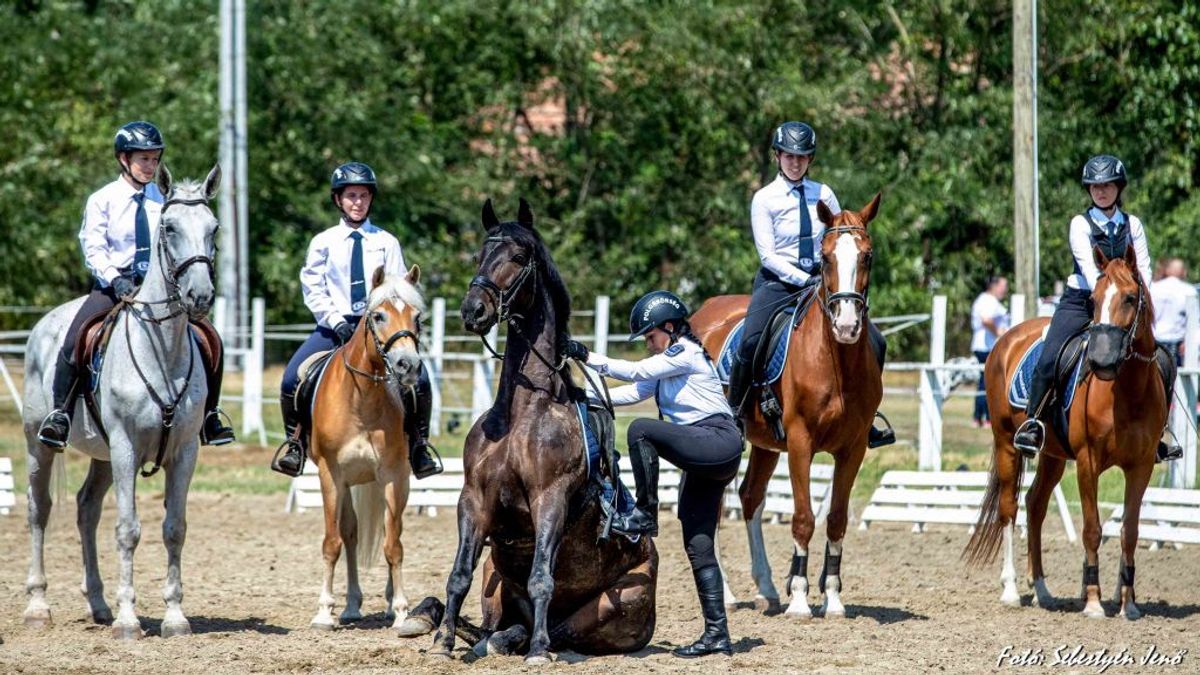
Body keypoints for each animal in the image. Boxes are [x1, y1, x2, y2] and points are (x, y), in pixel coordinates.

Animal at [20, 164, 223, 634]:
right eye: (168, 227)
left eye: (214, 228)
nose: (200, 297)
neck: (162, 350)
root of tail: (44, 324)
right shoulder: (127, 447)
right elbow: (128, 529)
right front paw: (130, 619)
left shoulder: (184, 451)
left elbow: (174, 528)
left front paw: (174, 617)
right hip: (40, 443)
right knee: (40, 508)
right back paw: (38, 605)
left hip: (103, 455)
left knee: (86, 509)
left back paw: (98, 604)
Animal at [304, 265, 427, 629]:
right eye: (378, 315)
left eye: (417, 317)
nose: (408, 366)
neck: (361, 400)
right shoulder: (331, 475)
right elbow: (333, 542)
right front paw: (324, 612)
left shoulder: (394, 476)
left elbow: (393, 544)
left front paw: (401, 611)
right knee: (351, 535)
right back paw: (350, 606)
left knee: (389, 529)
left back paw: (385, 604)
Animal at [427, 199, 657, 662]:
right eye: (479, 256)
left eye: (518, 257)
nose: (473, 310)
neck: (520, 415)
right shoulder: (473, 500)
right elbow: (458, 574)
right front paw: (442, 643)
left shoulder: (548, 498)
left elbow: (540, 579)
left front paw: (537, 652)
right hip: (495, 578)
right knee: (497, 622)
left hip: (615, 606)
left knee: (559, 629)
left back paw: (525, 643)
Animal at [691, 192, 888, 619]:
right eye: (825, 257)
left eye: (867, 256)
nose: (846, 326)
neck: (836, 363)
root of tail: (703, 313)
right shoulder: (800, 442)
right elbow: (802, 518)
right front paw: (799, 598)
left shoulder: (853, 449)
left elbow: (836, 520)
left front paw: (832, 598)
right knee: (712, 509)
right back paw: (728, 595)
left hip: (765, 444)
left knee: (750, 497)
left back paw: (765, 589)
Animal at [964, 243, 1171, 619]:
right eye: (1093, 298)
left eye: (1131, 297)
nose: (1102, 362)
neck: (1128, 391)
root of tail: (1008, 338)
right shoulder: (1088, 461)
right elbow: (1092, 529)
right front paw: (1092, 601)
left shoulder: (1142, 466)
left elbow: (1130, 531)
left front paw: (1128, 603)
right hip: (1006, 443)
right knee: (1009, 508)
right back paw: (1011, 589)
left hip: (1053, 456)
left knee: (1035, 505)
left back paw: (1042, 590)